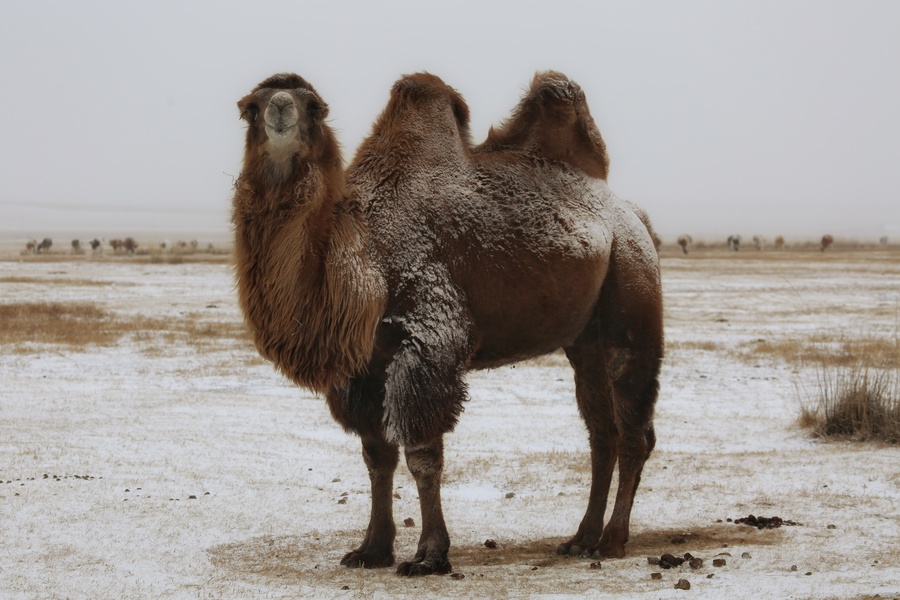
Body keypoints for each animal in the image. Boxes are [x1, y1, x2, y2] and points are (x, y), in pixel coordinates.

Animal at [232, 71, 664, 576]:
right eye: (250, 107)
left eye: (314, 107)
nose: (281, 108)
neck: (366, 262)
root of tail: (633, 215)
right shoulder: (365, 365)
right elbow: (376, 455)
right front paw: (371, 550)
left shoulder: (429, 340)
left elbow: (422, 453)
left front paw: (429, 555)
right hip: (584, 339)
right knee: (601, 432)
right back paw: (581, 538)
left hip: (631, 286)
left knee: (634, 427)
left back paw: (612, 540)